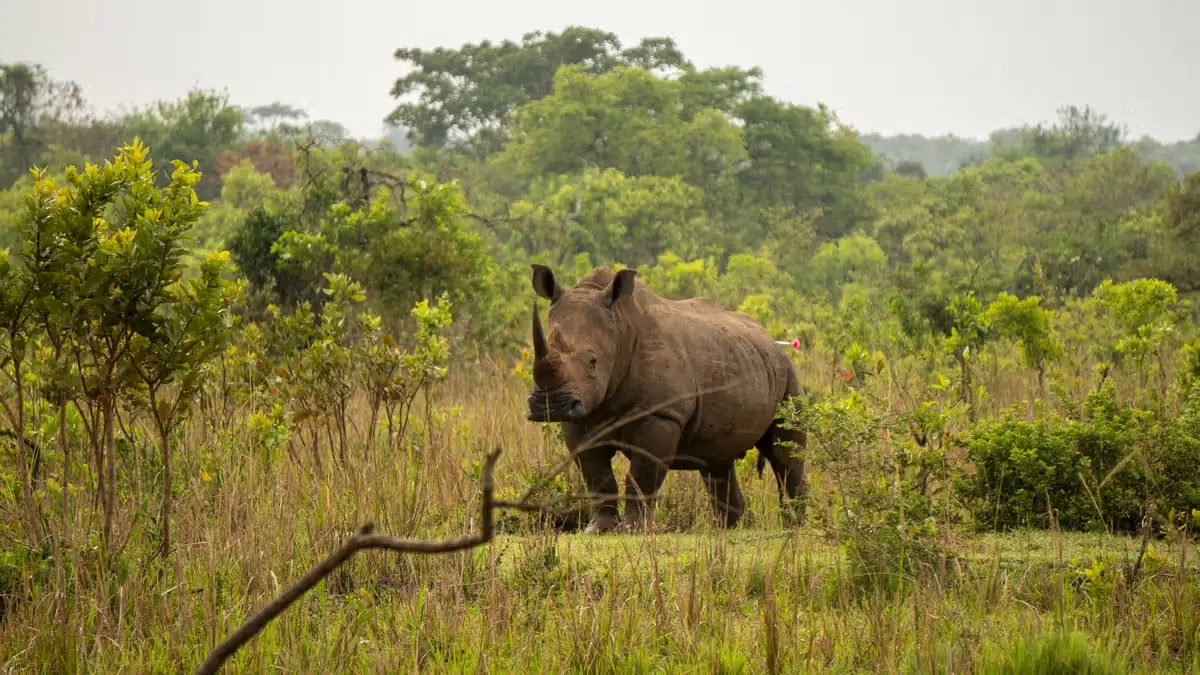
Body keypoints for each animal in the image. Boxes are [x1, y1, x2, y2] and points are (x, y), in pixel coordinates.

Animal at [525, 263, 807, 534]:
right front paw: (598, 530)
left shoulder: (662, 414)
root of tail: (771, 339)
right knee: (716, 460)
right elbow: (597, 477)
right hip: (737, 358)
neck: (620, 329)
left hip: (788, 375)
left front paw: (634, 530)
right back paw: (727, 529)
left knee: (785, 454)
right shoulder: (581, 417)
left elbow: (642, 475)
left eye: (593, 361)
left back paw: (795, 526)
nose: (550, 405)